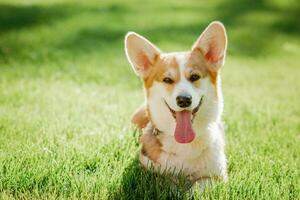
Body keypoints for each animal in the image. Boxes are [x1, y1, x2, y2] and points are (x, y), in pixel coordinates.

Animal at [124, 21, 227, 186]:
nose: (184, 100)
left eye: (194, 76)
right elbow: (169, 181)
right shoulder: (149, 170)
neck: (185, 144)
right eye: (167, 80)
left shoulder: (217, 176)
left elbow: (198, 185)